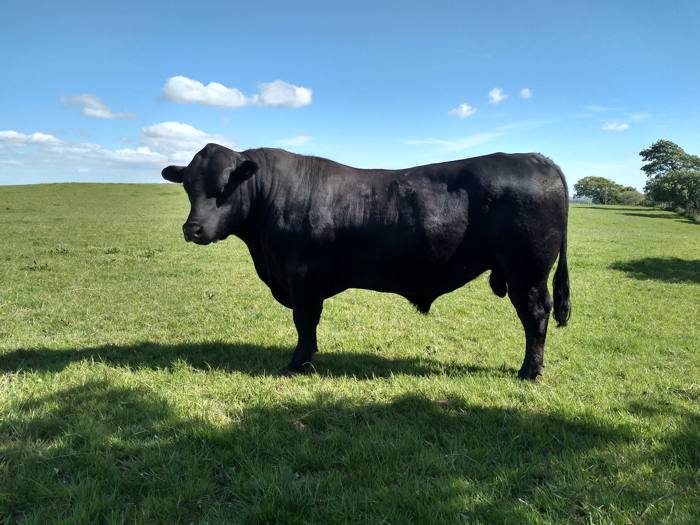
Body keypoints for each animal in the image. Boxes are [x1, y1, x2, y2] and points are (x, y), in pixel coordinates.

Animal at [162, 144, 571, 380]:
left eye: (223, 187)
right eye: (188, 187)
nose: (192, 228)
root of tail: (538, 159)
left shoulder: (302, 278)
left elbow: (304, 322)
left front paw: (297, 365)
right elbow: (308, 324)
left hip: (528, 272)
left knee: (536, 315)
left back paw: (529, 372)